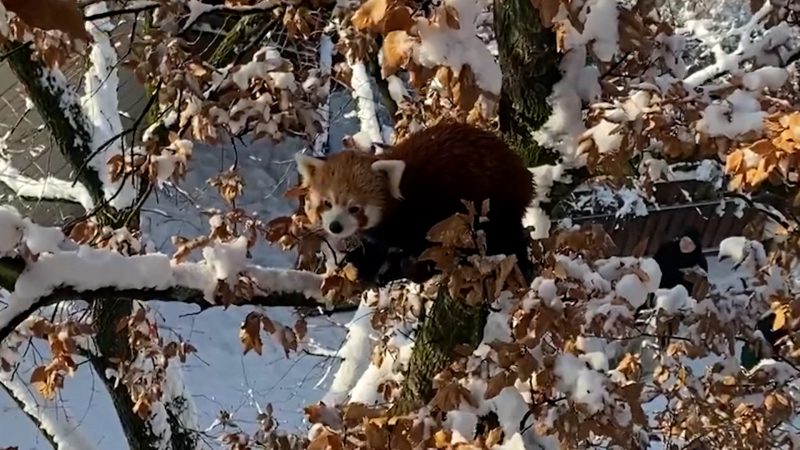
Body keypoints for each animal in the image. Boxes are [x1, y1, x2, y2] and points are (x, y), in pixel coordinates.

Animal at [296, 121, 536, 284]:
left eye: (354, 208)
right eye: (327, 203)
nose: (335, 226)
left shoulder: (430, 210)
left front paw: (413, 270)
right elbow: (375, 249)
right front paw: (364, 264)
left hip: (498, 196)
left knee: (504, 233)